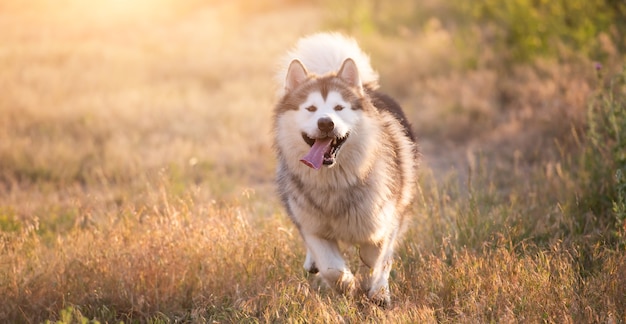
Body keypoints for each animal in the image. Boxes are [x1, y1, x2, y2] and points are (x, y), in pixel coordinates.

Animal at [272, 32, 414, 306]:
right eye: (311, 108)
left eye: (339, 108)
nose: (326, 123)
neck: (335, 181)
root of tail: (367, 88)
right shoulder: (313, 227)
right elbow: (331, 268)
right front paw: (346, 285)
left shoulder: (384, 219)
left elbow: (376, 257)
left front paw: (374, 289)